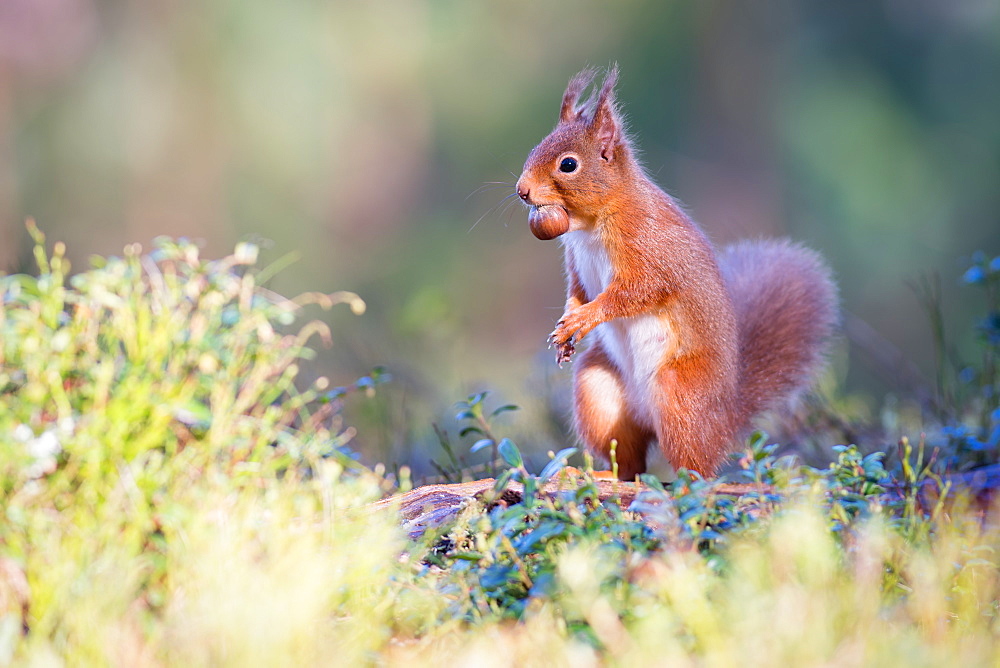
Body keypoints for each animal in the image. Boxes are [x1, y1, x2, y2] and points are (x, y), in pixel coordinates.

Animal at [516, 65, 836, 478]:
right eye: (535, 149)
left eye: (568, 164)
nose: (522, 190)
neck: (592, 222)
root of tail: (726, 417)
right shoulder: (575, 260)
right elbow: (578, 292)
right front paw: (566, 326)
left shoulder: (649, 248)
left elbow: (635, 292)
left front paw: (584, 319)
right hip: (598, 389)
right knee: (630, 463)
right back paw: (596, 473)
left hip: (679, 394)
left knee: (696, 465)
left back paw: (685, 481)